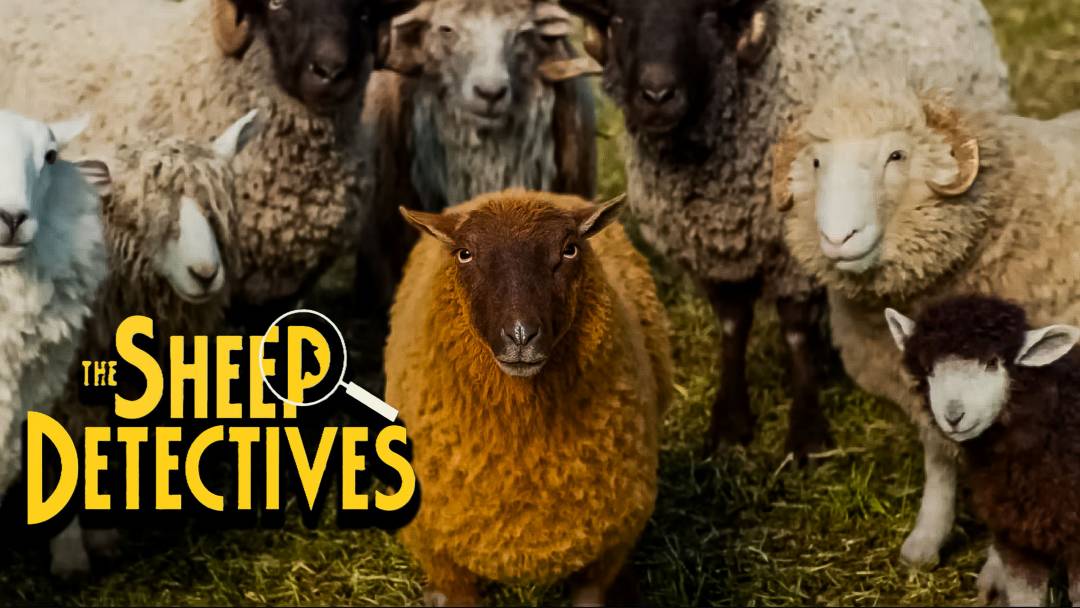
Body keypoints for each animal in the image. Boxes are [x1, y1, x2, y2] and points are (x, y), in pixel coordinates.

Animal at [384, 190, 672, 606]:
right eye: (464, 254)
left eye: (569, 249)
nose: (520, 335)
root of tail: (514, 191)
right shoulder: (442, 553)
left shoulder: (606, 546)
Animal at [558, 0, 1012, 463]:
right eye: (618, 20)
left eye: (707, 17)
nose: (656, 95)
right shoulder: (716, 254)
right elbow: (732, 325)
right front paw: (730, 423)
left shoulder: (797, 252)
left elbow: (795, 331)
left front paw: (807, 434)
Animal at [773, 69, 1080, 568]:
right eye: (817, 162)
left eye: (896, 155)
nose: (838, 238)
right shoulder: (930, 391)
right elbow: (938, 460)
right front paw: (927, 538)